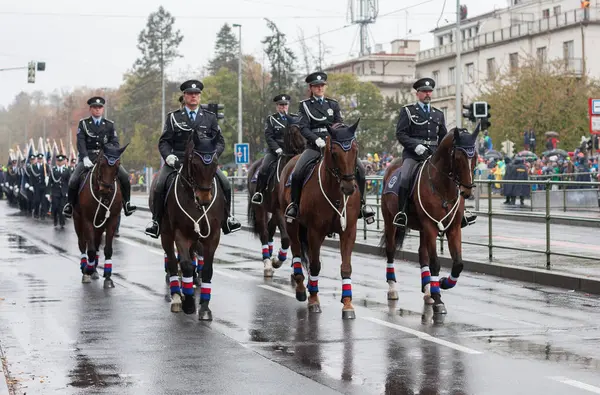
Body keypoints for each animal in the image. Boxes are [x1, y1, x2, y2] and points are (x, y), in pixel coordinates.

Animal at [74, 142, 127, 288]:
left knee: (97, 243)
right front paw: (87, 269)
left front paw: (108, 277)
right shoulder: (87, 220)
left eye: (118, 165)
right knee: (82, 244)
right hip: (77, 220)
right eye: (102, 164)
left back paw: (95, 269)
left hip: (99, 225)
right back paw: (85, 267)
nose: (106, 188)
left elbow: (107, 249)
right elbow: (90, 250)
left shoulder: (112, 220)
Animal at [151, 131, 224, 320]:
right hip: (167, 235)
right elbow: (185, 265)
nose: (204, 199)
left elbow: (207, 269)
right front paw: (190, 304)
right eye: (195, 164)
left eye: (215, 163)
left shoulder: (212, 236)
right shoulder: (181, 234)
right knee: (172, 261)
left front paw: (204, 307)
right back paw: (177, 297)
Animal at [247, 120, 308, 278]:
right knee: (264, 233)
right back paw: (267, 264)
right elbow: (286, 239)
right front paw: (276, 261)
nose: (305, 147)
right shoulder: (279, 210)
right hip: (260, 208)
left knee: (269, 229)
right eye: (294, 132)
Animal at [278, 120, 358, 318]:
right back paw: (301, 289)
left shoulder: (349, 230)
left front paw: (347, 304)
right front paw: (314, 300)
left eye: (355, 150)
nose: (348, 187)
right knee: (297, 254)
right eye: (334, 153)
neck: (335, 192)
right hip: (293, 225)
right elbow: (314, 266)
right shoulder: (315, 231)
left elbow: (346, 267)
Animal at [382, 128, 480, 318]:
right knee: (390, 251)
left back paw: (428, 290)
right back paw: (392, 288)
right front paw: (439, 300)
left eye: (476, 157)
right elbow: (435, 263)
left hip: (421, 229)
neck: (443, 186)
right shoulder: (430, 227)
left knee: (422, 254)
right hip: (390, 221)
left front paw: (442, 283)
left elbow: (458, 263)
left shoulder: (454, 229)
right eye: (458, 157)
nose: (467, 191)